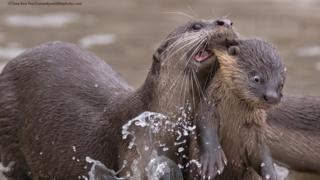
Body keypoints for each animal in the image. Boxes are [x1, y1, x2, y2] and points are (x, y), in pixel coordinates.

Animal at [188, 38, 284, 179]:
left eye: (281, 84)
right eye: (256, 78)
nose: (272, 97)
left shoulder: (255, 129)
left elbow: (262, 153)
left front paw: (272, 174)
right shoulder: (208, 106)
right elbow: (205, 125)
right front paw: (212, 160)